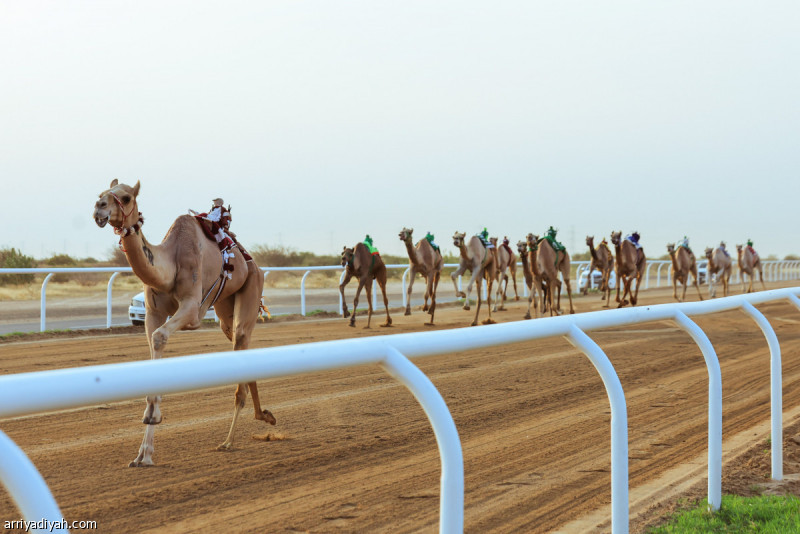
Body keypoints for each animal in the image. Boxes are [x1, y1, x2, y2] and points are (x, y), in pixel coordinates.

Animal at [92, 181, 276, 468]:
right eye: (101, 194)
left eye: (126, 196)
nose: (99, 208)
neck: (169, 263)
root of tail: (251, 261)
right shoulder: (153, 312)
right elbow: (153, 340)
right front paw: (143, 454)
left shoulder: (191, 309)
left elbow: (160, 336)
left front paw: (153, 416)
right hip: (224, 309)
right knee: (242, 346)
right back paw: (264, 415)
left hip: (251, 286)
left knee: (241, 337)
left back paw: (229, 441)